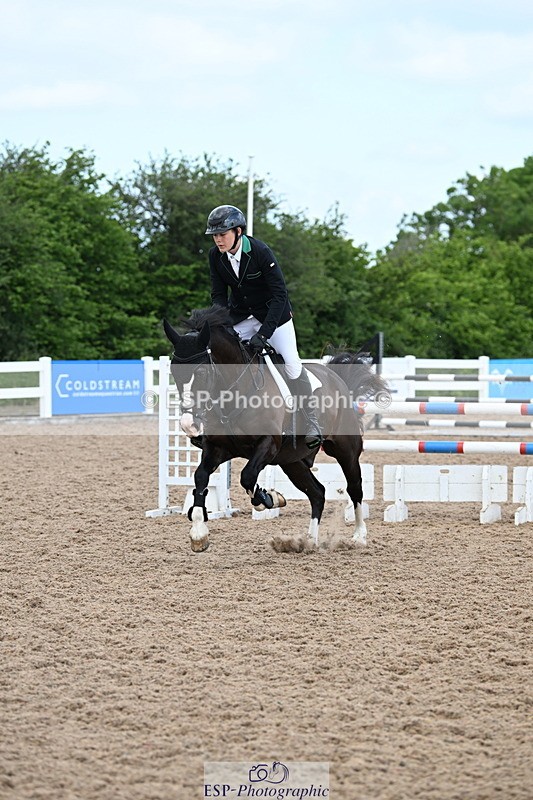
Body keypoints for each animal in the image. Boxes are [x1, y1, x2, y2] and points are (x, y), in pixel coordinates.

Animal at [163, 305, 388, 552]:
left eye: (202, 372)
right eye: (174, 372)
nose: (188, 424)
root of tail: (337, 379)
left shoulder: (268, 443)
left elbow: (247, 476)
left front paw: (269, 498)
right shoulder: (218, 448)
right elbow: (201, 476)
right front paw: (198, 534)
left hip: (344, 450)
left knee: (354, 487)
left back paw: (358, 536)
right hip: (291, 461)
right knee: (317, 493)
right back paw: (309, 541)